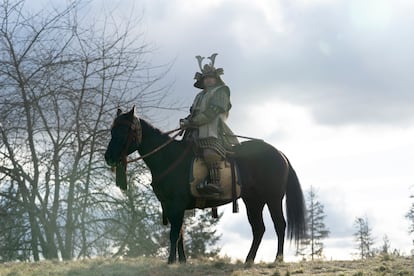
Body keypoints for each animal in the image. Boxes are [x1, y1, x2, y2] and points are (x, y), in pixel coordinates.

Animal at [105, 106, 306, 264]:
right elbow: (180, 233)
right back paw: (249, 260)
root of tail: (279, 154)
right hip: (254, 201)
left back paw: (277, 259)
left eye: (125, 132)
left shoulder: (176, 205)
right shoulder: (171, 206)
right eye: (112, 131)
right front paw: (181, 261)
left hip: (273, 198)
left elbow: (174, 233)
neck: (168, 157)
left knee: (279, 225)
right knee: (259, 229)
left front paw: (170, 261)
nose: (108, 157)